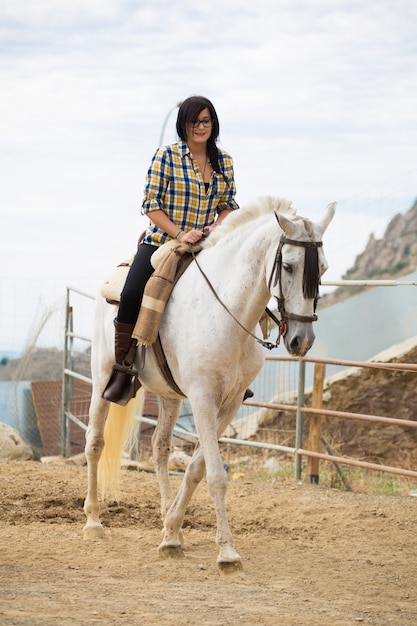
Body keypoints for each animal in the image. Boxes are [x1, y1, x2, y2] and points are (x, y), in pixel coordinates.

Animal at [83, 195, 334, 572]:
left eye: (323, 269)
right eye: (288, 266)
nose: (301, 341)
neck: (226, 311)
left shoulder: (229, 404)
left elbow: (196, 469)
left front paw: (172, 533)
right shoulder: (203, 399)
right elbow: (216, 475)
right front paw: (227, 553)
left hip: (170, 396)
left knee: (160, 448)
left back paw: (164, 515)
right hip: (102, 379)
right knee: (95, 443)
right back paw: (93, 521)